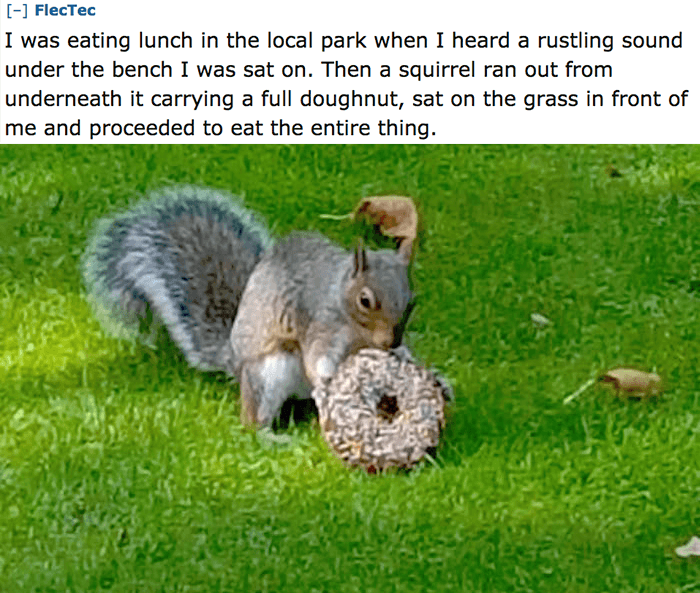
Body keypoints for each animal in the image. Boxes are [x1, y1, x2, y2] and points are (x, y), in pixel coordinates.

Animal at [82, 186, 415, 428]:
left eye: (412, 300)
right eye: (365, 301)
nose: (390, 342)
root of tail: (233, 358)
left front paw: (409, 359)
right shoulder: (319, 324)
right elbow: (316, 361)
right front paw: (326, 383)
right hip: (269, 373)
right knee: (253, 420)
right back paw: (272, 436)